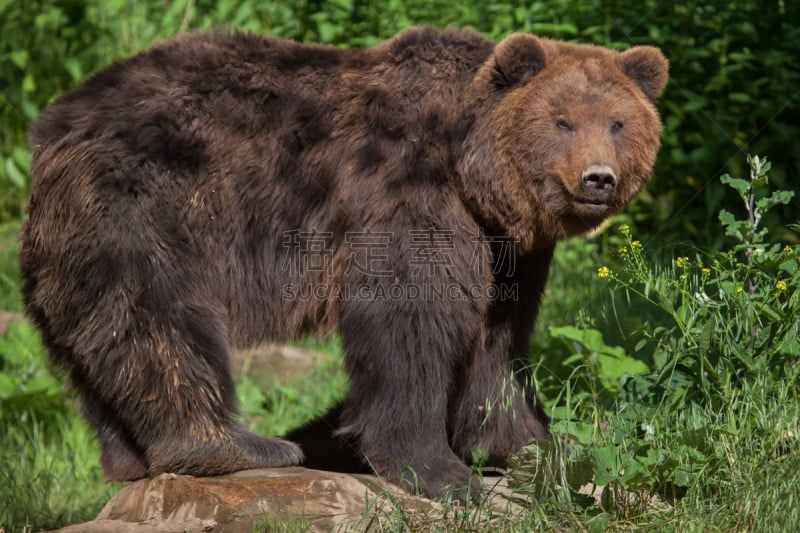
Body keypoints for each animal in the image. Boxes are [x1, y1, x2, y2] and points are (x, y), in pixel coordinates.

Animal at [20, 25, 668, 498]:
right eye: (562, 121)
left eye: (618, 122)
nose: (598, 178)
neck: (471, 169)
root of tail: (53, 128)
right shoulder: (404, 192)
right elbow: (410, 320)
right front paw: (442, 471)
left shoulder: (509, 249)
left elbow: (497, 343)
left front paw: (537, 444)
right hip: (148, 204)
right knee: (159, 320)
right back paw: (237, 445)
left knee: (95, 347)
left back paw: (131, 459)